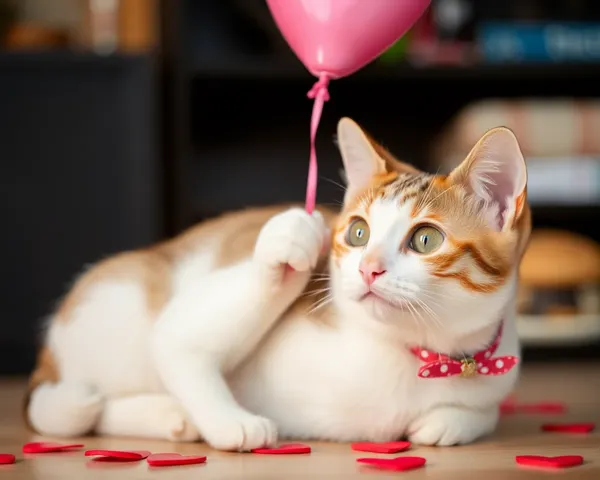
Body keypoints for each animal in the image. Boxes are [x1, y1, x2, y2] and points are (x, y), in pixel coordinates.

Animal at [23, 116, 528, 450]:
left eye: (426, 239)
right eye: (357, 232)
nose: (368, 268)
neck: (417, 350)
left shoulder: (500, 362)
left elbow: (484, 412)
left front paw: (451, 421)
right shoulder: (183, 323)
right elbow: (182, 340)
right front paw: (229, 422)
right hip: (122, 308)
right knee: (74, 409)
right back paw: (168, 413)